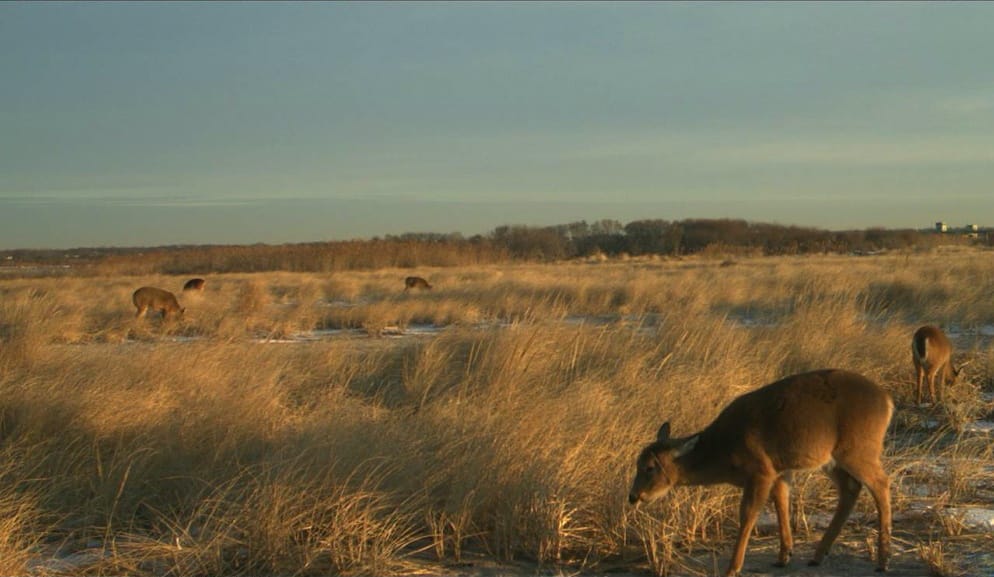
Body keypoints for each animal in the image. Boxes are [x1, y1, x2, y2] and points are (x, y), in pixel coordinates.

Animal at [628, 369, 893, 576]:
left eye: (650, 467)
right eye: (637, 463)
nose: (633, 496)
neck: (723, 450)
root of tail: (887, 400)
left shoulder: (760, 471)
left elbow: (748, 514)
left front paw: (732, 568)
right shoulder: (778, 471)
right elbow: (781, 503)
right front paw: (784, 555)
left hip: (858, 450)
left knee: (881, 483)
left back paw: (883, 560)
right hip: (831, 460)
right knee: (851, 488)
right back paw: (818, 555)